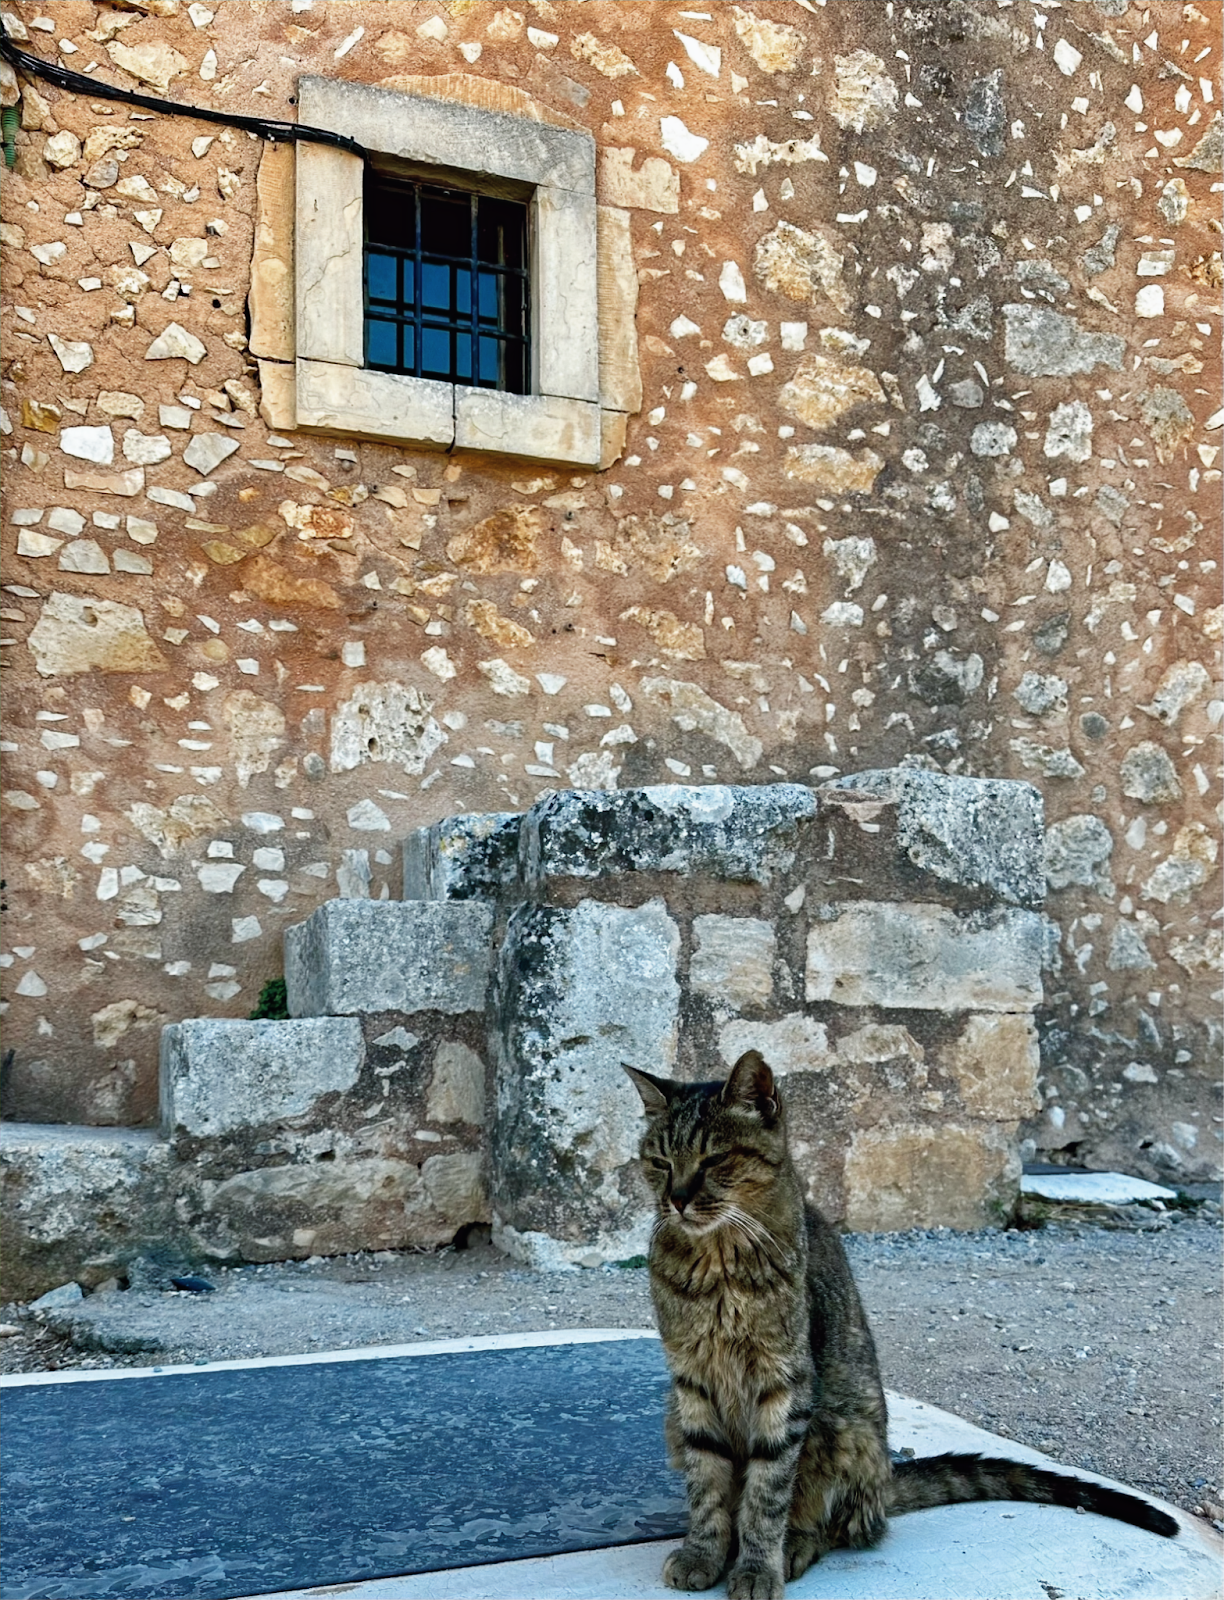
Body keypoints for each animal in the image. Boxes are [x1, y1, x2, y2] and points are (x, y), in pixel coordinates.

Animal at [624, 1049, 1177, 1600]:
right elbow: (707, 1484)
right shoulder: (692, 1381)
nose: (676, 1199)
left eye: (714, 1160)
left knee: (843, 1525)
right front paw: (703, 1552)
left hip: (843, 1425)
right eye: (660, 1162)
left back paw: (795, 1546)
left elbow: (767, 1492)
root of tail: (888, 1478)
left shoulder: (785, 1381)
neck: (715, 1263)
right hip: (675, 1416)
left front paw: (758, 1567)